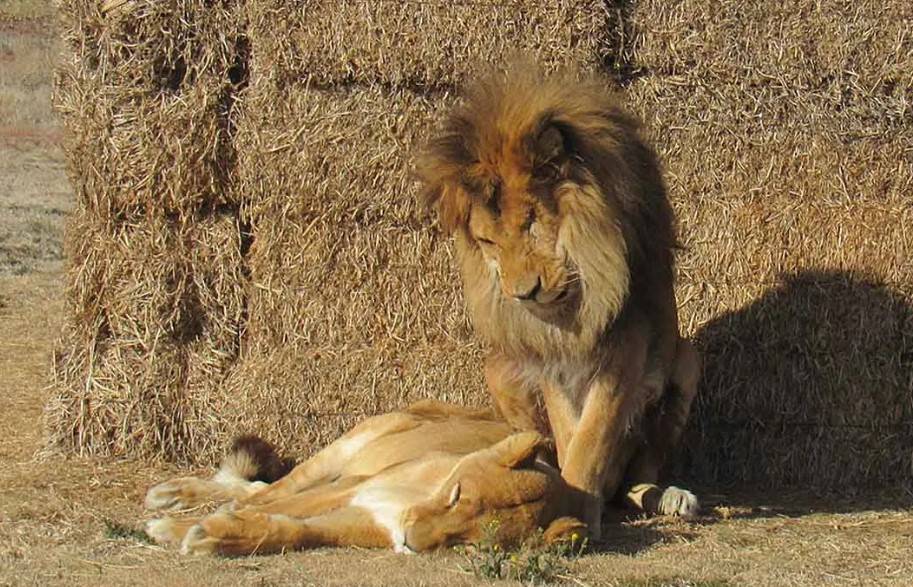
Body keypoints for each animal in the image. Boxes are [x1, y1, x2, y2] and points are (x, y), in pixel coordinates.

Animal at [416, 68, 700, 536]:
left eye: (532, 220)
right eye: (487, 241)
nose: (523, 293)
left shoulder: (627, 344)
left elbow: (593, 437)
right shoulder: (548, 354)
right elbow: (569, 435)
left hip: (687, 362)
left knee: (635, 478)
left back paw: (667, 496)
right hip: (498, 370)